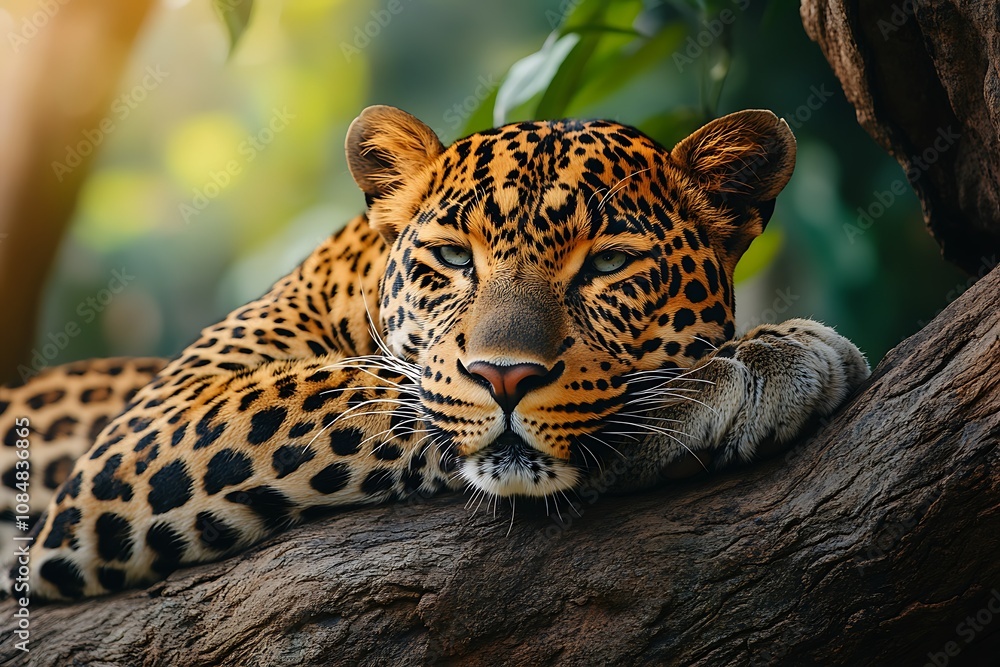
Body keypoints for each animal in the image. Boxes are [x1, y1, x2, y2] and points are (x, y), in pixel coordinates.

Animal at [0, 105, 869, 601]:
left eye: (609, 264)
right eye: (453, 257)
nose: (506, 376)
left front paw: (766, 348)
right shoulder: (149, 423)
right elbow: (368, 390)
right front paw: (729, 378)